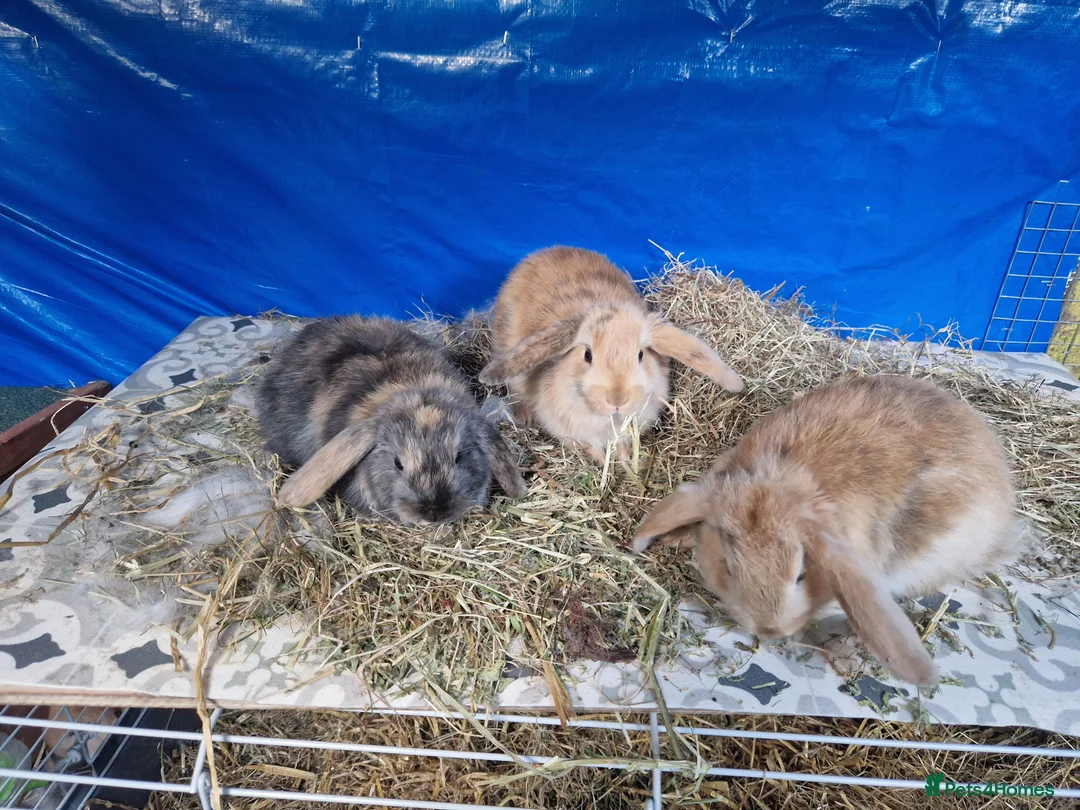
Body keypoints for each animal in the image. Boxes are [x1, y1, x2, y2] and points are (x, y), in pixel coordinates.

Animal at [478, 246, 744, 463]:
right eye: (587, 355)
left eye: (640, 354)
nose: (617, 399)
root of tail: (548, 250)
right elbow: (590, 448)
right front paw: (601, 463)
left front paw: (624, 459)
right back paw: (525, 417)